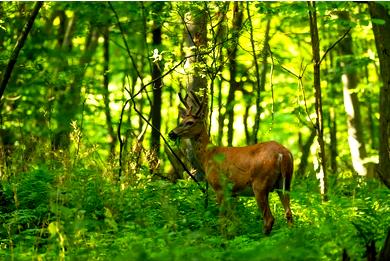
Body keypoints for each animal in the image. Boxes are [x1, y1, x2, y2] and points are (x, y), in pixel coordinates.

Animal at [168, 91, 292, 234]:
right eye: (181, 121)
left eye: (190, 122)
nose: (171, 133)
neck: (208, 156)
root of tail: (283, 154)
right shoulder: (233, 193)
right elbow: (232, 218)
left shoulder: (219, 186)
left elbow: (222, 218)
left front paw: (223, 237)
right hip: (285, 184)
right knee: (289, 214)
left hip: (260, 184)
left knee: (269, 219)